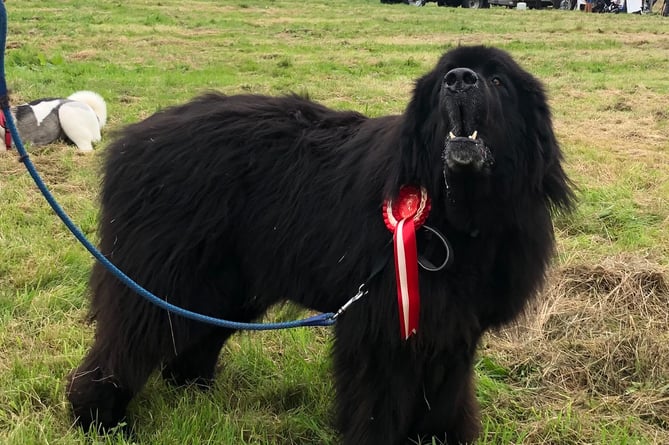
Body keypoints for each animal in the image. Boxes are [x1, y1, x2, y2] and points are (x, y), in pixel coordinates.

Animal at [65, 46, 572, 444]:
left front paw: (440, 439)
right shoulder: (380, 326)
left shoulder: (454, 327)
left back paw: (195, 392)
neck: (456, 215)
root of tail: (132, 141)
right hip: (165, 274)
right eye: (446, 77)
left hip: (226, 284)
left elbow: (447, 393)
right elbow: (379, 401)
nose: (460, 80)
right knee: (126, 340)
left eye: (497, 79)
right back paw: (99, 420)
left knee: (196, 334)